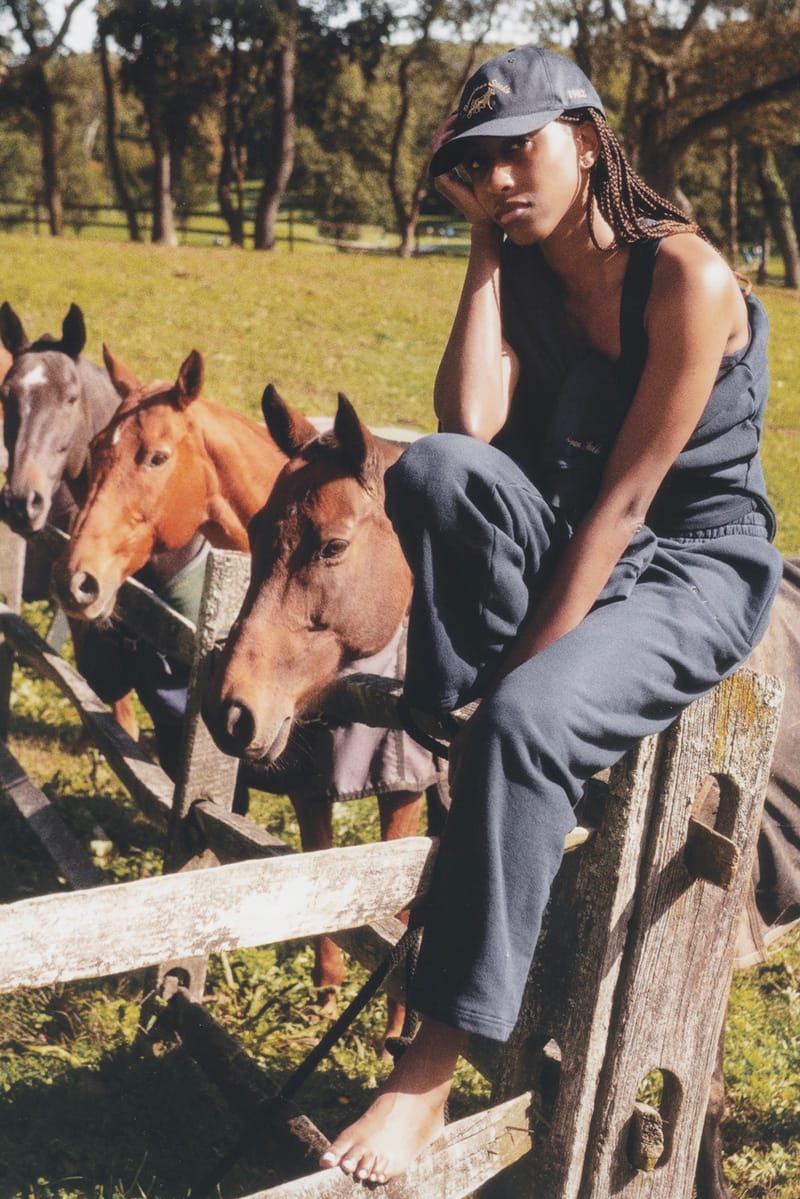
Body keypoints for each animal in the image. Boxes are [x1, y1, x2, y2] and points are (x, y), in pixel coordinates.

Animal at [54, 350, 443, 1045]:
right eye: (95, 451)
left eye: (155, 456)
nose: (77, 580)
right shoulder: (308, 781)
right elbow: (319, 873)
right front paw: (326, 992)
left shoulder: (403, 784)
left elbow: (401, 901)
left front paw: (397, 1025)